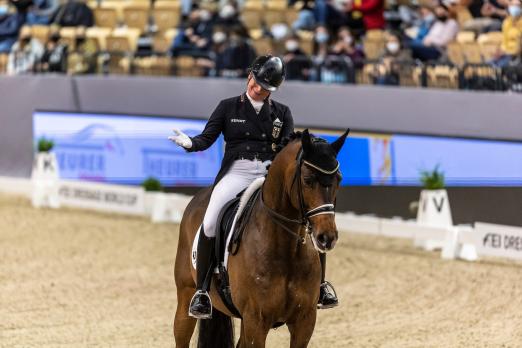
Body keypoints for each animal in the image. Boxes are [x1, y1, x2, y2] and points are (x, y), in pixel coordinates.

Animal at [173, 129, 348, 346]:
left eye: (339, 179)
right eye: (308, 180)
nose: (327, 237)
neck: (286, 251)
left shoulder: (304, 322)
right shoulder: (257, 321)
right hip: (186, 294)